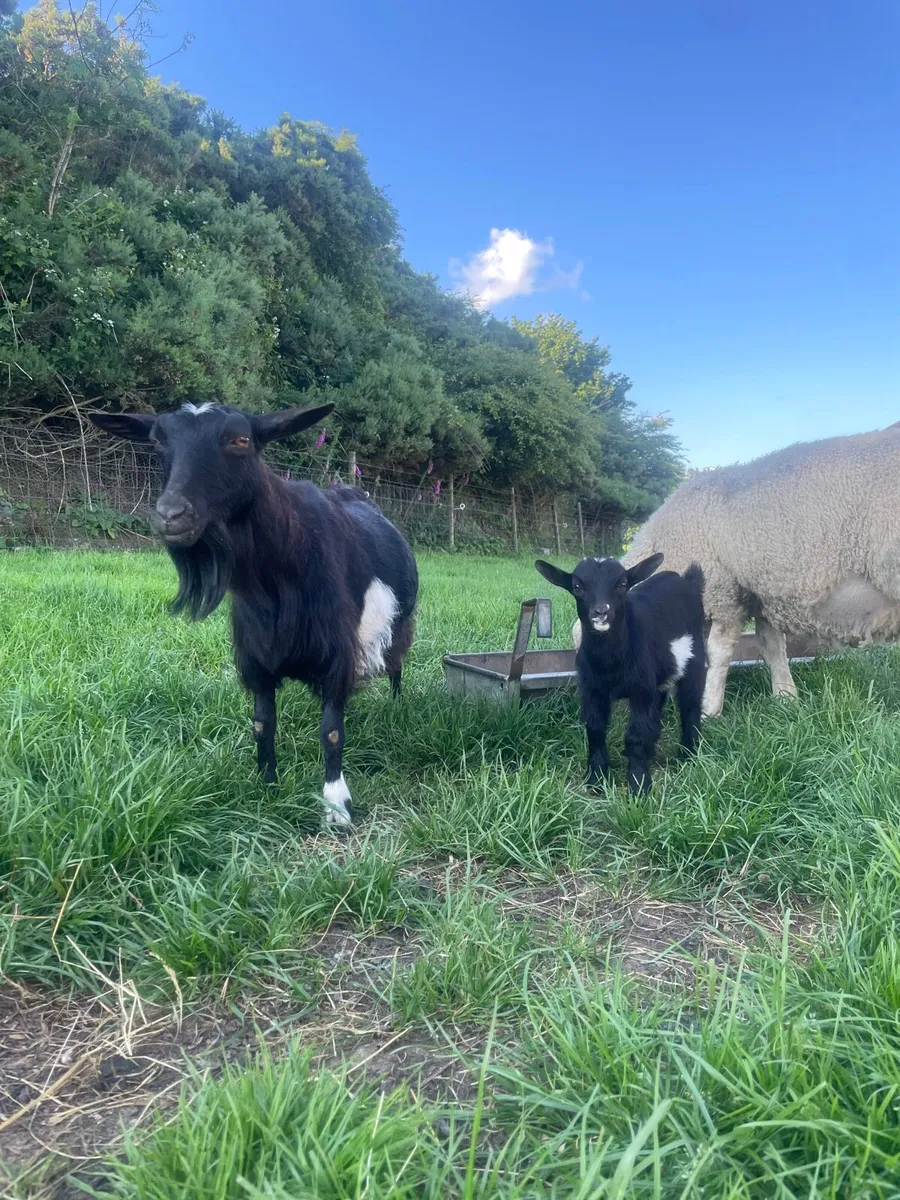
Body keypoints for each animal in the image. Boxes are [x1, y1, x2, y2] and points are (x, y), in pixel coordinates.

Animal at [89, 401, 418, 829]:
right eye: (158, 440)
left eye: (241, 439)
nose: (171, 516)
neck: (279, 576)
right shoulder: (256, 656)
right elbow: (263, 725)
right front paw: (267, 786)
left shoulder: (335, 653)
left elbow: (331, 731)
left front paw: (336, 806)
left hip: (399, 626)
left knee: (396, 666)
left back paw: (396, 705)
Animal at [536, 554, 706, 794]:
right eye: (577, 587)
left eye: (622, 584)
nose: (601, 612)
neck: (611, 663)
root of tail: (687, 580)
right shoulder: (592, 689)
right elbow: (595, 730)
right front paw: (596, 780)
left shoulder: (640, 690)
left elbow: (635, 735)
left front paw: (639, 785)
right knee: (659, 705)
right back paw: (653, 751)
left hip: (695, 658)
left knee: (691, 705)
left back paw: (688, 755)